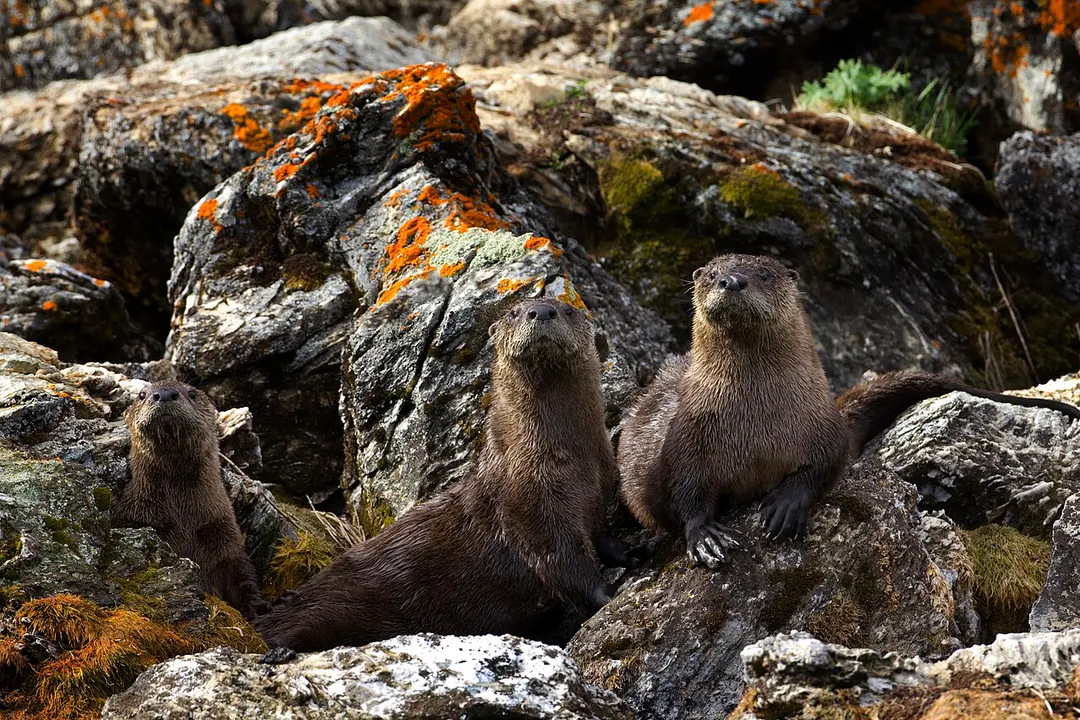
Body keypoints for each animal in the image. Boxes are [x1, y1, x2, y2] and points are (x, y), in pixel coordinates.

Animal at [113, 381, 262, 618]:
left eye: (192, 392)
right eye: (142, 395)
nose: (164, 394)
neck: (183, 518)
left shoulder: (225, 536)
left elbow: (244, 578)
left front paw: (258, 609)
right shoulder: (132, 517)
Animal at [254, 298, 620, 651]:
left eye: (569, 310)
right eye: (514, 312)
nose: (541, 311)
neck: (567, 460)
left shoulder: (600, 490)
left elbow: (600, 536)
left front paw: (624, 552)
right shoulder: (532, 509)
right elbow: (565, 565)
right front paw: (607, 595)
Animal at [618, 253, 1080, 568]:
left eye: (763, 274)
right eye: (713, 274)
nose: (733, 281)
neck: (756, 421)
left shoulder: (823, 423)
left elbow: (827, 464)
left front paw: (785, 504)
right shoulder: (688, 434)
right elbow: (686, 490)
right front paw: (705, 537)